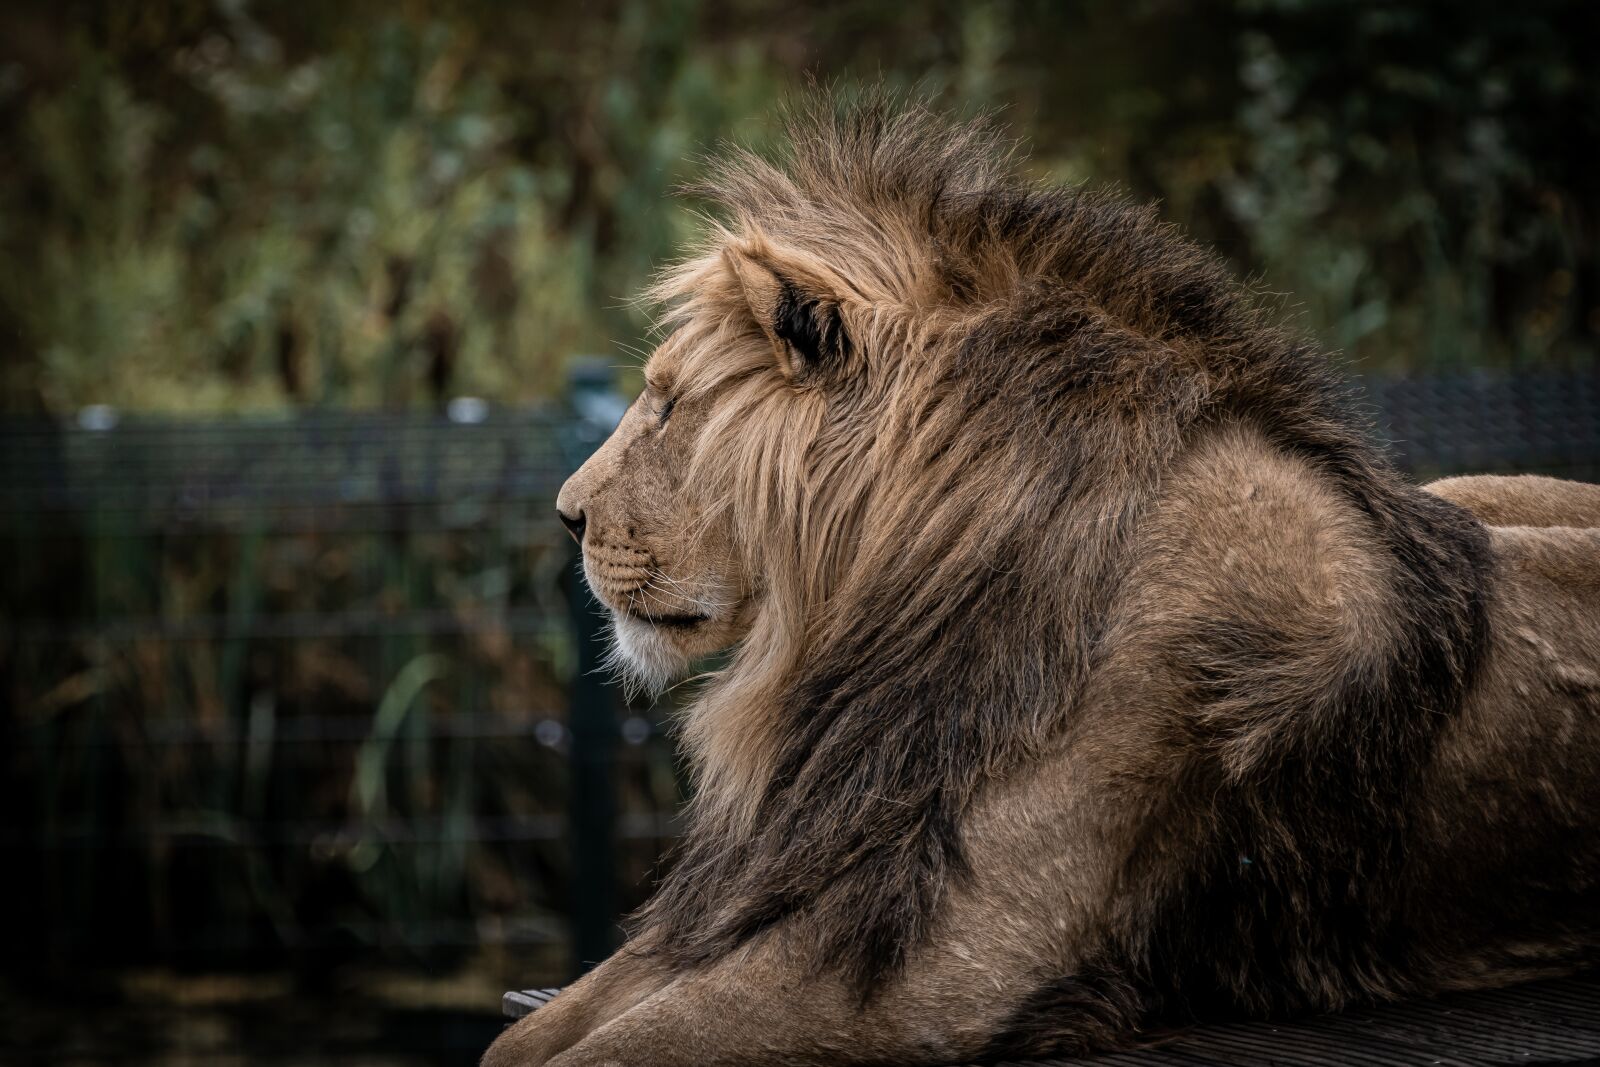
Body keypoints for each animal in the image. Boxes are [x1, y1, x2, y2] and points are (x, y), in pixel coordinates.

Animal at [485, 96, 1600, 1066]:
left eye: (671, 404)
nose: (565, 513)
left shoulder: (929, 966)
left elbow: (612, 1047)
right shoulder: (804, 870)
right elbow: (530, 1036)